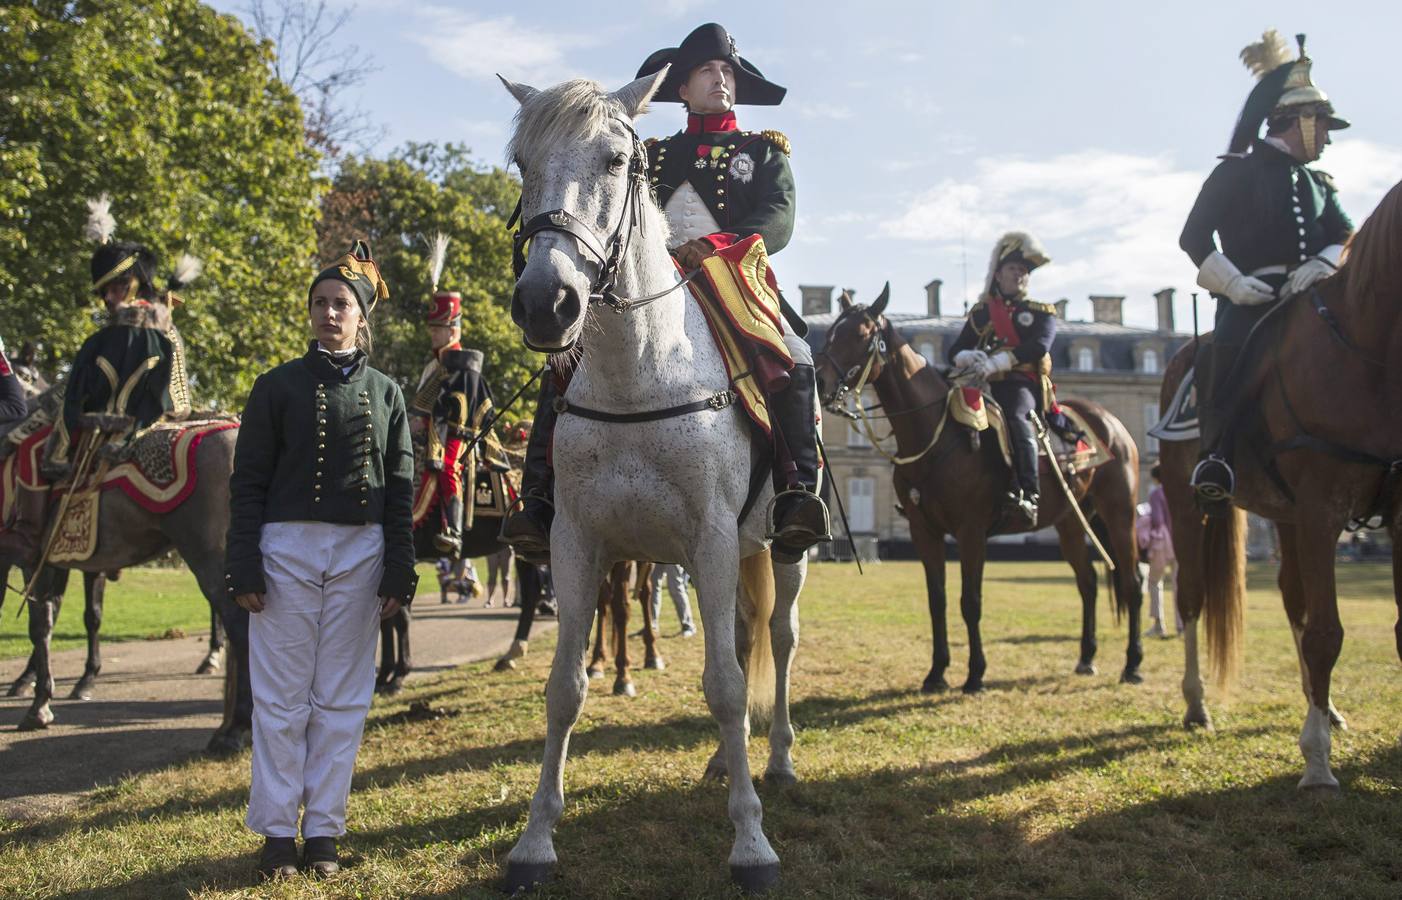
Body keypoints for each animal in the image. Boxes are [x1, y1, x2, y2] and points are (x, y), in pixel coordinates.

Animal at [586, 557, 661, 698]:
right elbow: (602, 600)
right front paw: (596, 663)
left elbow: (621, 607)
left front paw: (623, 678)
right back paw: (597, 662)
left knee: (645, 591)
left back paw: (653, 655)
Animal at [818, 283, 1144, 689]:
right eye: (831, 332)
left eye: (861, 334)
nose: (818, 381)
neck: (935, 434)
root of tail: (1109, 421)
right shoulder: (923, 531)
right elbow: (937, 600)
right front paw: (936, 673)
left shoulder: (970, 531)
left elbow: (970, 601)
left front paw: (975, 674)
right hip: (1070, 520)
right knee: (1087, 583)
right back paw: (1086, 657)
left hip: (1120, 514)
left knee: (1132, 582)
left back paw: (1132, 664)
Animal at [1155, 178, 1402, 790]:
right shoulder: (1321, 510)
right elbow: (1326, 633)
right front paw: (1316, 764)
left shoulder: (1392, 512)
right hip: (1189, 505)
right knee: (1192, 597)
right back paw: (1197, 705)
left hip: (1285, 514)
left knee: (1293, 600)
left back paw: (1325, 706)